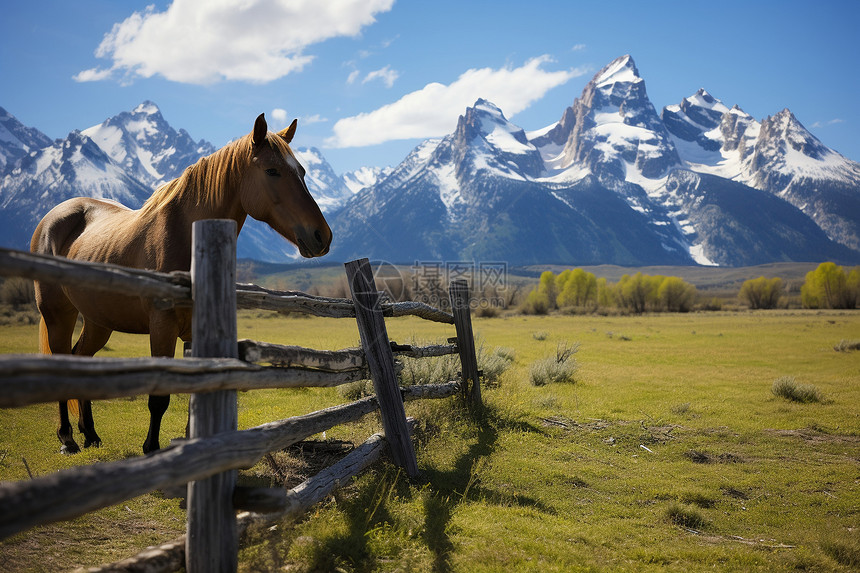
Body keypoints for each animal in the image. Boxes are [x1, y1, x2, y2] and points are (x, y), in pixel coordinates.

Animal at [31, 113, 332, 452]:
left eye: (302, 171)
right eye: (272, 170)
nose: (322, 236)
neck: (187, 237)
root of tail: (53, 218)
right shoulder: (162, 326)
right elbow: (159, 398)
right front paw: (151, 449)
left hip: (98, 321)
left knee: (81, 360)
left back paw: (91, 434)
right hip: (58, 315)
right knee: (61, 363)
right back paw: (68, 439)